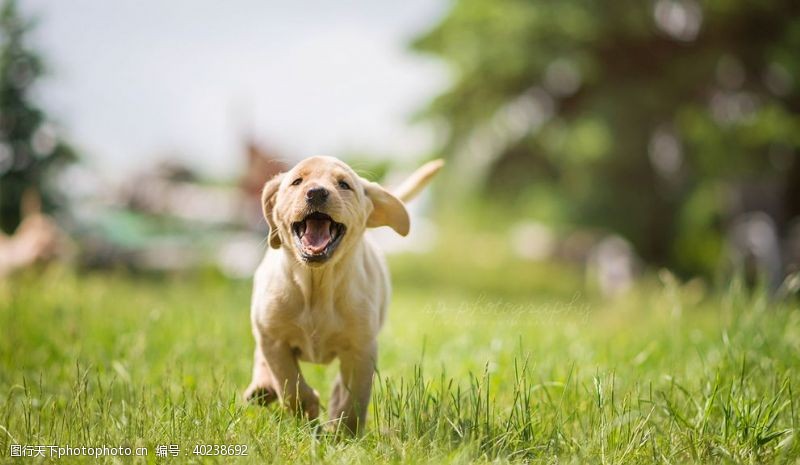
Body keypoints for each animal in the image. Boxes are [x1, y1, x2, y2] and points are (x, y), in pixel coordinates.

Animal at [244, 155, 444, 432]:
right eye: (297, 181)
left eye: (344, 185)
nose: (316, 192)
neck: (317, 286)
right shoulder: (275, 340)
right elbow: (289, 383)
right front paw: (307, 411)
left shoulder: (360, 350)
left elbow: (353, 398)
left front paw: (343, 434)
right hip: (264, 324)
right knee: (262, 356)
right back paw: (262, 386)